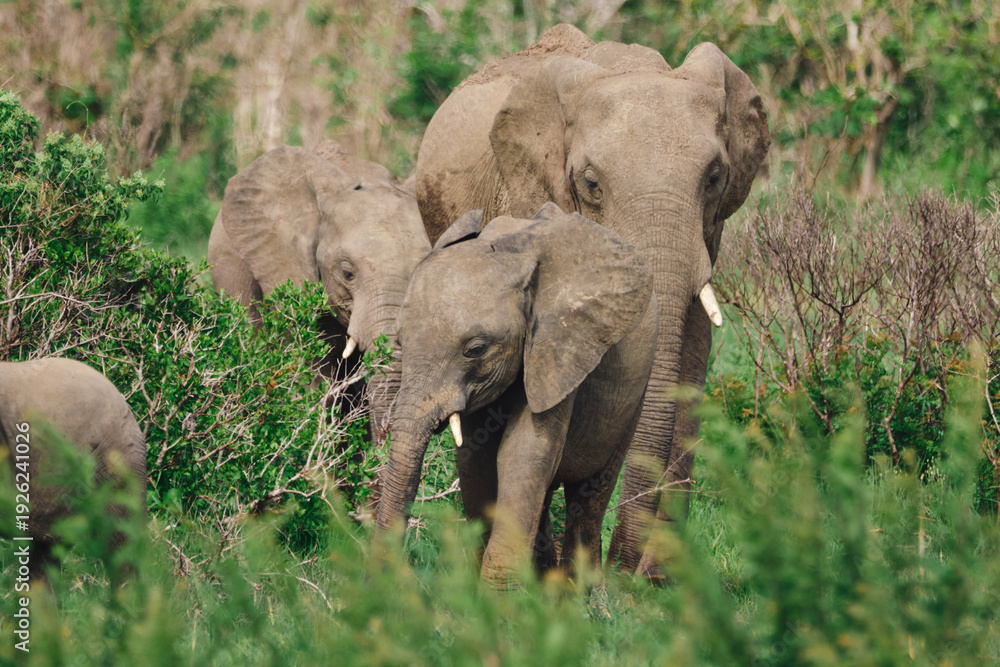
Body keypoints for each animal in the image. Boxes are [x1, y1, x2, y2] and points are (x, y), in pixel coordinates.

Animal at [376, 204, 658, 588]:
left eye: (476, 349)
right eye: (401, 343)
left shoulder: (560, 349)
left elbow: (523, 451)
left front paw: (498, 597)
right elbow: (477, 461)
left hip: (635, 390)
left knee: (589, 494)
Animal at [414, 24, 770, 578]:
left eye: (715, 177)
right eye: (590, 183)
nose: (630, 570)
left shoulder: (707, 235)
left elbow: (690, 362)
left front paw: (658, 583)